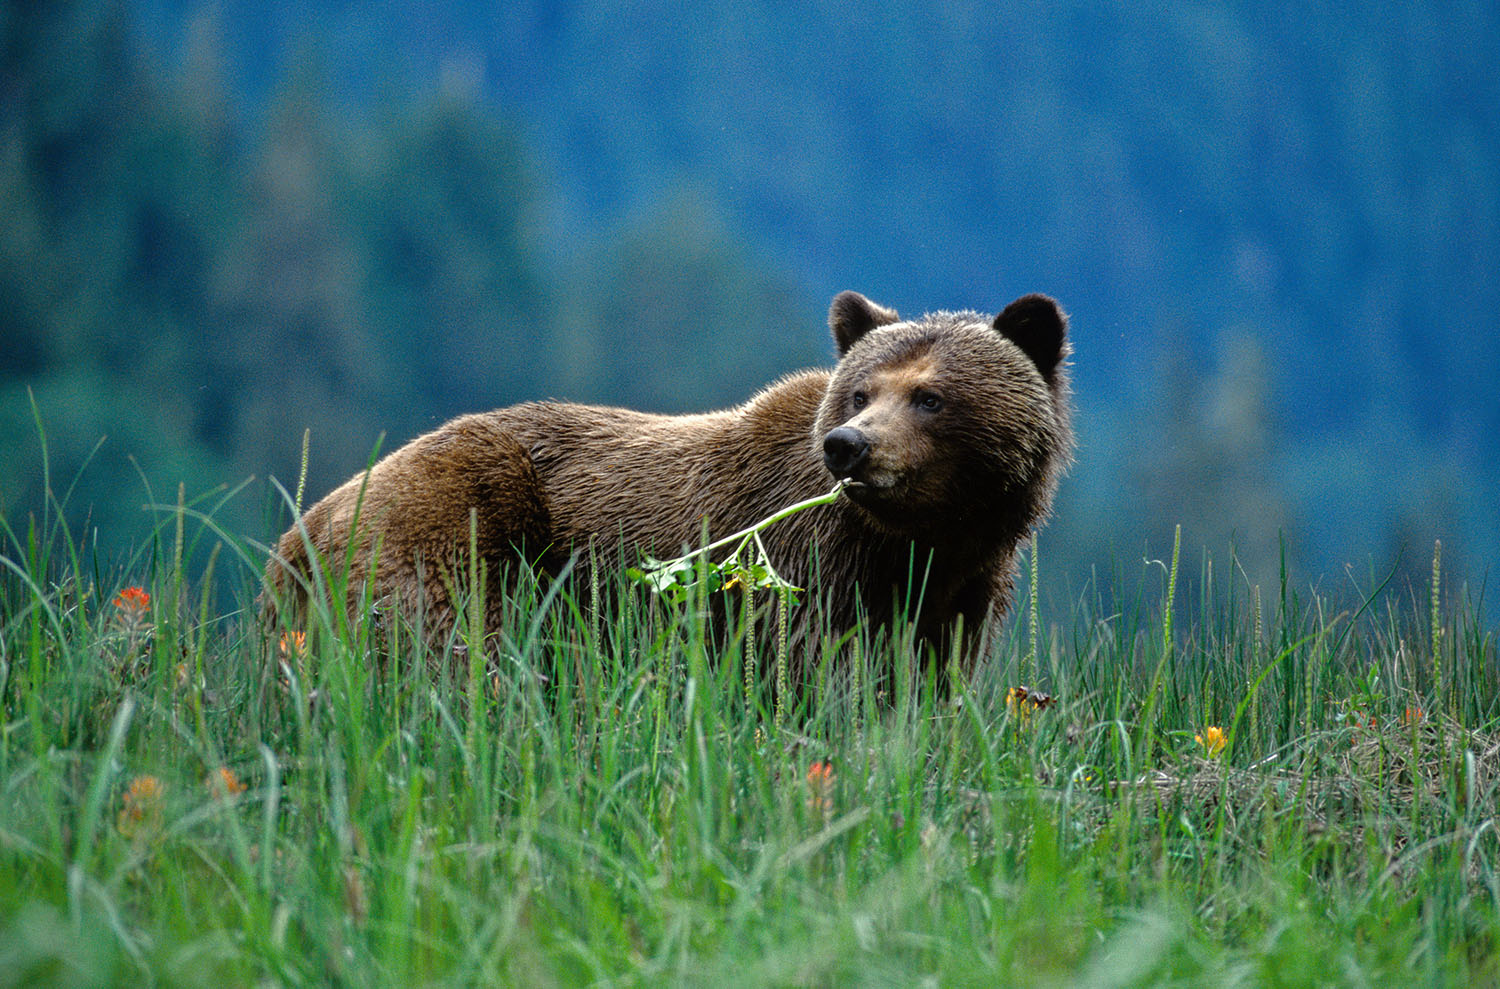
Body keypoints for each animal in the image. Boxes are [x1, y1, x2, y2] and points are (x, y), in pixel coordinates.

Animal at [264, 289, 1074, 684]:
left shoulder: (959, 591)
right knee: (452, 649)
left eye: (930, 396)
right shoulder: (805, 569)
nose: (849, 445)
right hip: (457, 526)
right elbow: (809, 676)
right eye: (861, 391)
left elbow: (926, 681)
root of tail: (302, 530)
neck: (915, 540)